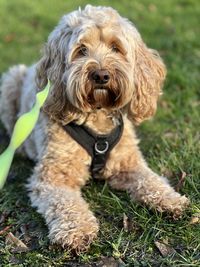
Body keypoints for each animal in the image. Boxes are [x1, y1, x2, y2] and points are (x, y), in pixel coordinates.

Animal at [0, 5, 188, 252]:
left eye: (116, 48)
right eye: (81, 50)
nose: (101, 75)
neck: (97, 119)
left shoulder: (129, 163)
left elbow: (151, 180)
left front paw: (170, 199)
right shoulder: (53, 176)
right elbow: (66, 203)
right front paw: (77, 230)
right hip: (10, 82)